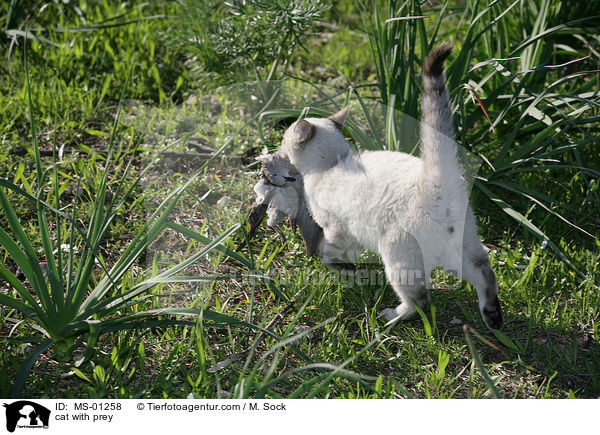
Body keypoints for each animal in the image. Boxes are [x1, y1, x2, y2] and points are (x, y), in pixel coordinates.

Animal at [278, 45, 504, 330]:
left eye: (285, 139)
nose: (278, 146)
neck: (331, 164)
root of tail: (436, 179)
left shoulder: (335, 228)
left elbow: (328, 253)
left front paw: (343, 269)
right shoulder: (351, 232)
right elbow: (347, 253)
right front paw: (350, 269)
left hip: (398, 254)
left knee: (420, 300)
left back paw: (390, 317)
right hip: (460, 246)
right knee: (484, 270)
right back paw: (493, 318)